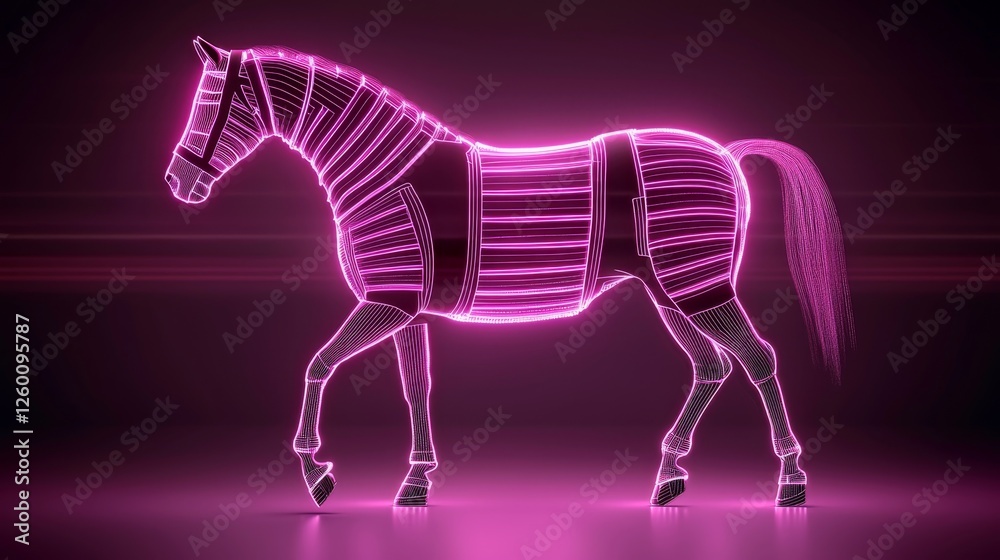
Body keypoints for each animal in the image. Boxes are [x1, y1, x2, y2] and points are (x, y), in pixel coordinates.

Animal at [165, 37, 854, 508]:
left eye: (212, 104)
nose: (175, 184)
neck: (380, 171)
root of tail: (724, 152)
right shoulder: (406, 307)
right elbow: (417, 388)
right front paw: (415, 483)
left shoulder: (387, 299)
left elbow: (318, 365)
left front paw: (317, 474)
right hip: (667, 290)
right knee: (712, 365)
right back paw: (669, 478)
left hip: (697, 283)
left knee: (757, 358)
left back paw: (791, 482)